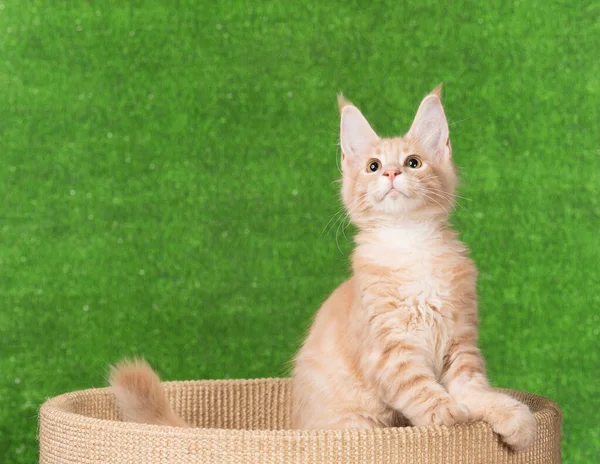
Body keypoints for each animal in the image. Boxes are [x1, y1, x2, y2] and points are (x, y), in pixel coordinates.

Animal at [288, 86, 536, 450]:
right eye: (373, 166)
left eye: (413, 163)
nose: (392, 173)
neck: (411, 244)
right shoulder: (389, 352)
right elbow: (421, 389)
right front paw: (448, 414)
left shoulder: (460, 341)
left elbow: (474, 389)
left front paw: (510, 415)